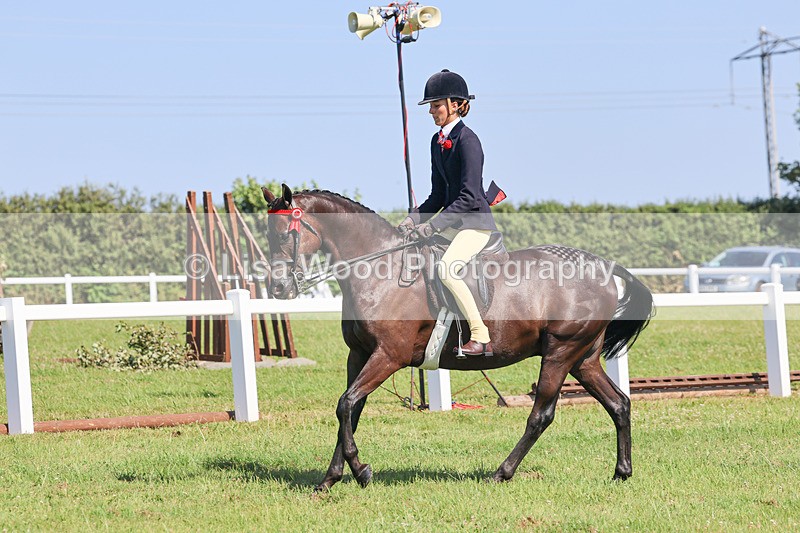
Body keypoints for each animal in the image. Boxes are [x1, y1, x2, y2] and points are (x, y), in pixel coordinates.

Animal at [262, 185, 653, 492]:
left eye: (283, 235)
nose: (278, 288)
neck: (377, 271)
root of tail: (602, 267)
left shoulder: (389, 355)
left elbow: (346, 404)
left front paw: (361, 471)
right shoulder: (357, 355)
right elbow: (350, 410)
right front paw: (330, 478)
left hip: (560, 351)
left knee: (542, 414)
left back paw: (501, 473)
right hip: (582, 359)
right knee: (619, 404)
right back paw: (622, 472)